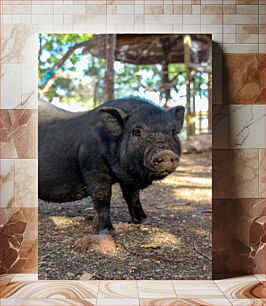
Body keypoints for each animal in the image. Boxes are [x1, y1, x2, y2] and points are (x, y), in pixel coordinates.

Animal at [38, 97, 185, 234]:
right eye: (136, 132)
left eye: (173, 132)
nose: (165, 153)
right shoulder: (94, 168)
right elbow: (103, 196)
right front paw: (107, 232)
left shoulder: (128, 175)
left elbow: (133, 196)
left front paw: (146, 221)